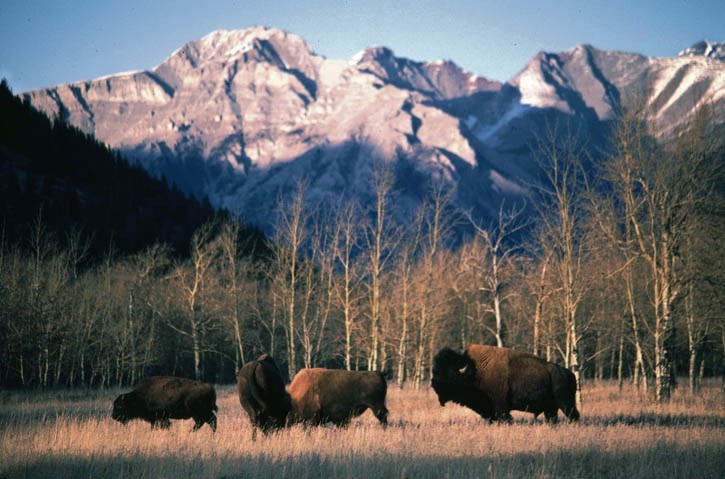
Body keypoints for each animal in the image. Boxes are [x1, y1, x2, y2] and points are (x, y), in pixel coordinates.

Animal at [432, 344, 580, 424]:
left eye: (448, 371)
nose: (434, 383)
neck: (473, 370)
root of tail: (570, 374)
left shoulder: (500, 405)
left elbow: (504, 417)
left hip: (566, 403)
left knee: (573, 415)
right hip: (551, 408)